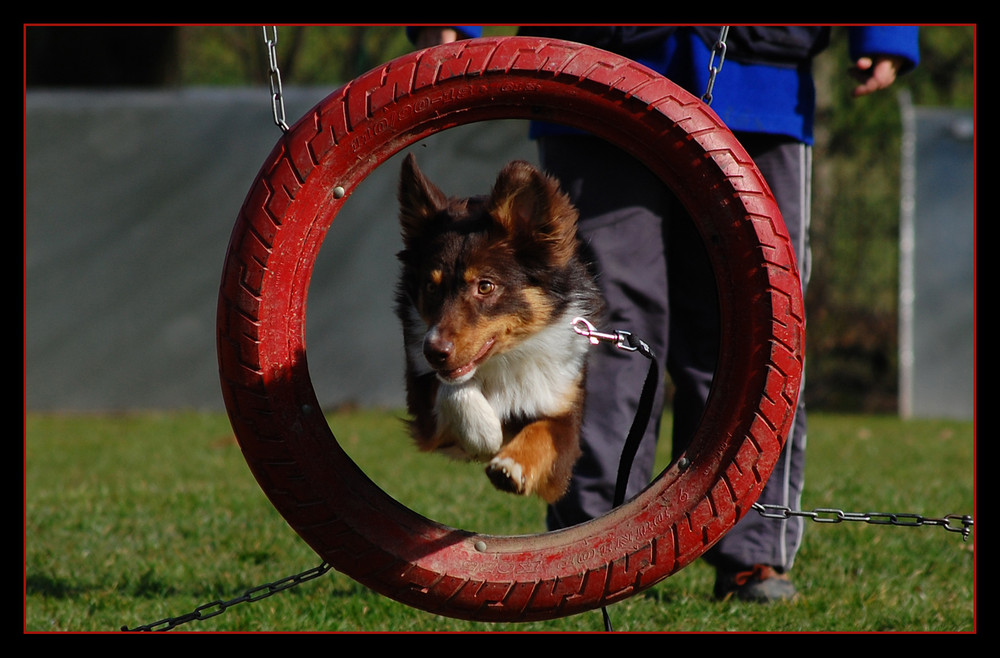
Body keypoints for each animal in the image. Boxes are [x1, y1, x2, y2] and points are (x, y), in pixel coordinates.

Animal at [396, 152, 600, 502]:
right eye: (431, 287)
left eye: (485, 286)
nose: (434, 352)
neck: (505, 360)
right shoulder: (424, 405)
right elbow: (451, 387)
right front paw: (483, 432)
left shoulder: (564, 405)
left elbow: (544, 430)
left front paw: (512, 466)